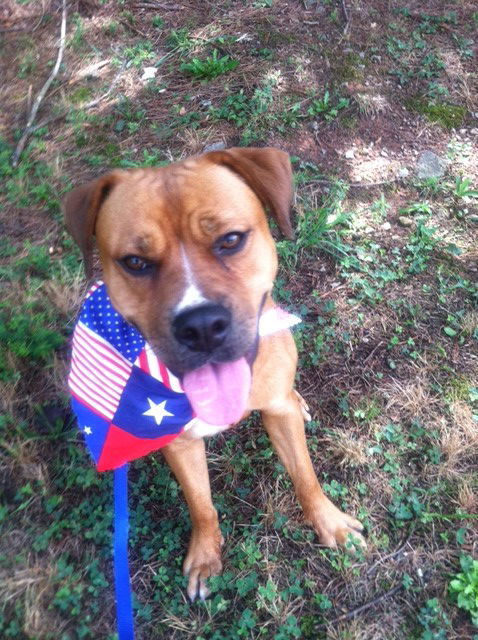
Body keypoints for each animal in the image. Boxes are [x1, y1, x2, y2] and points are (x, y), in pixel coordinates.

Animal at [62, 148, 362, 604]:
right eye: (135, 263)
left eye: (231, 240)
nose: (201, 325)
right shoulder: (181, 444)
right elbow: (200, 503)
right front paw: (206, 556)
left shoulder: (278, 414)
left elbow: (306, 477)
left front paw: (331, 523)